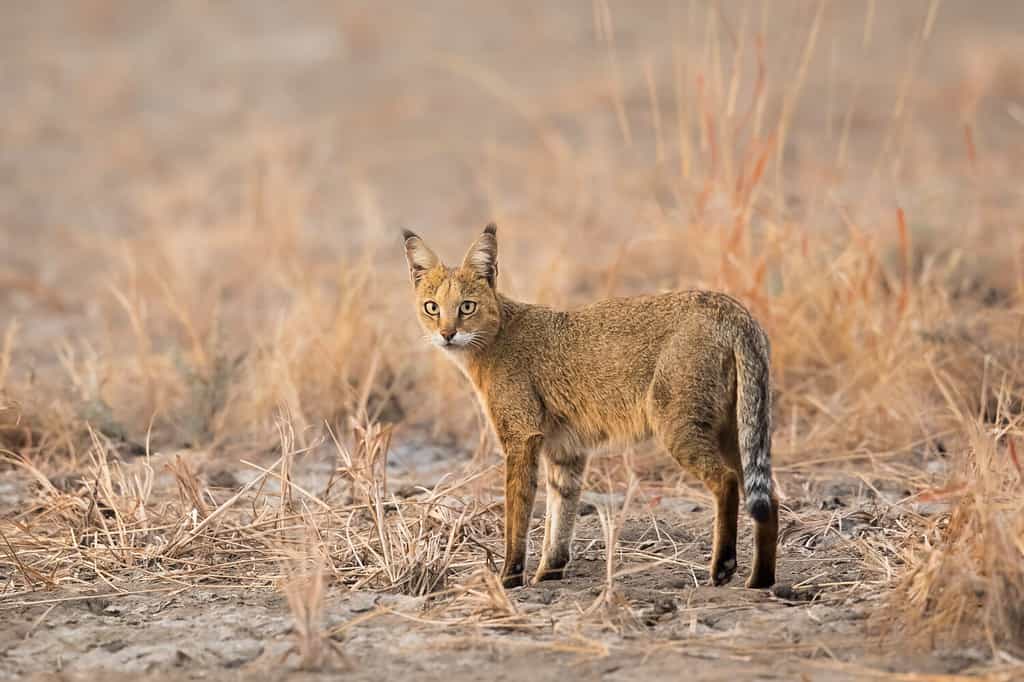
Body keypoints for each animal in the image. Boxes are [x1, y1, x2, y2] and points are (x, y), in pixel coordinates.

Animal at [403, 225, 778, 585]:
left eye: (467, 306)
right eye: (432, 307)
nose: (447, 334)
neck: (495, 336)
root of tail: (730, 306)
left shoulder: (521, 438)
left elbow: (517, 514)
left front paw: (510, 576)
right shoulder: (564, 449)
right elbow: (560, 516)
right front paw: (549, 572)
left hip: (679, 427)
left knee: (727, 480)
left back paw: (724, 566)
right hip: (736, 431)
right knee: (768, 496)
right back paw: (760, 580)